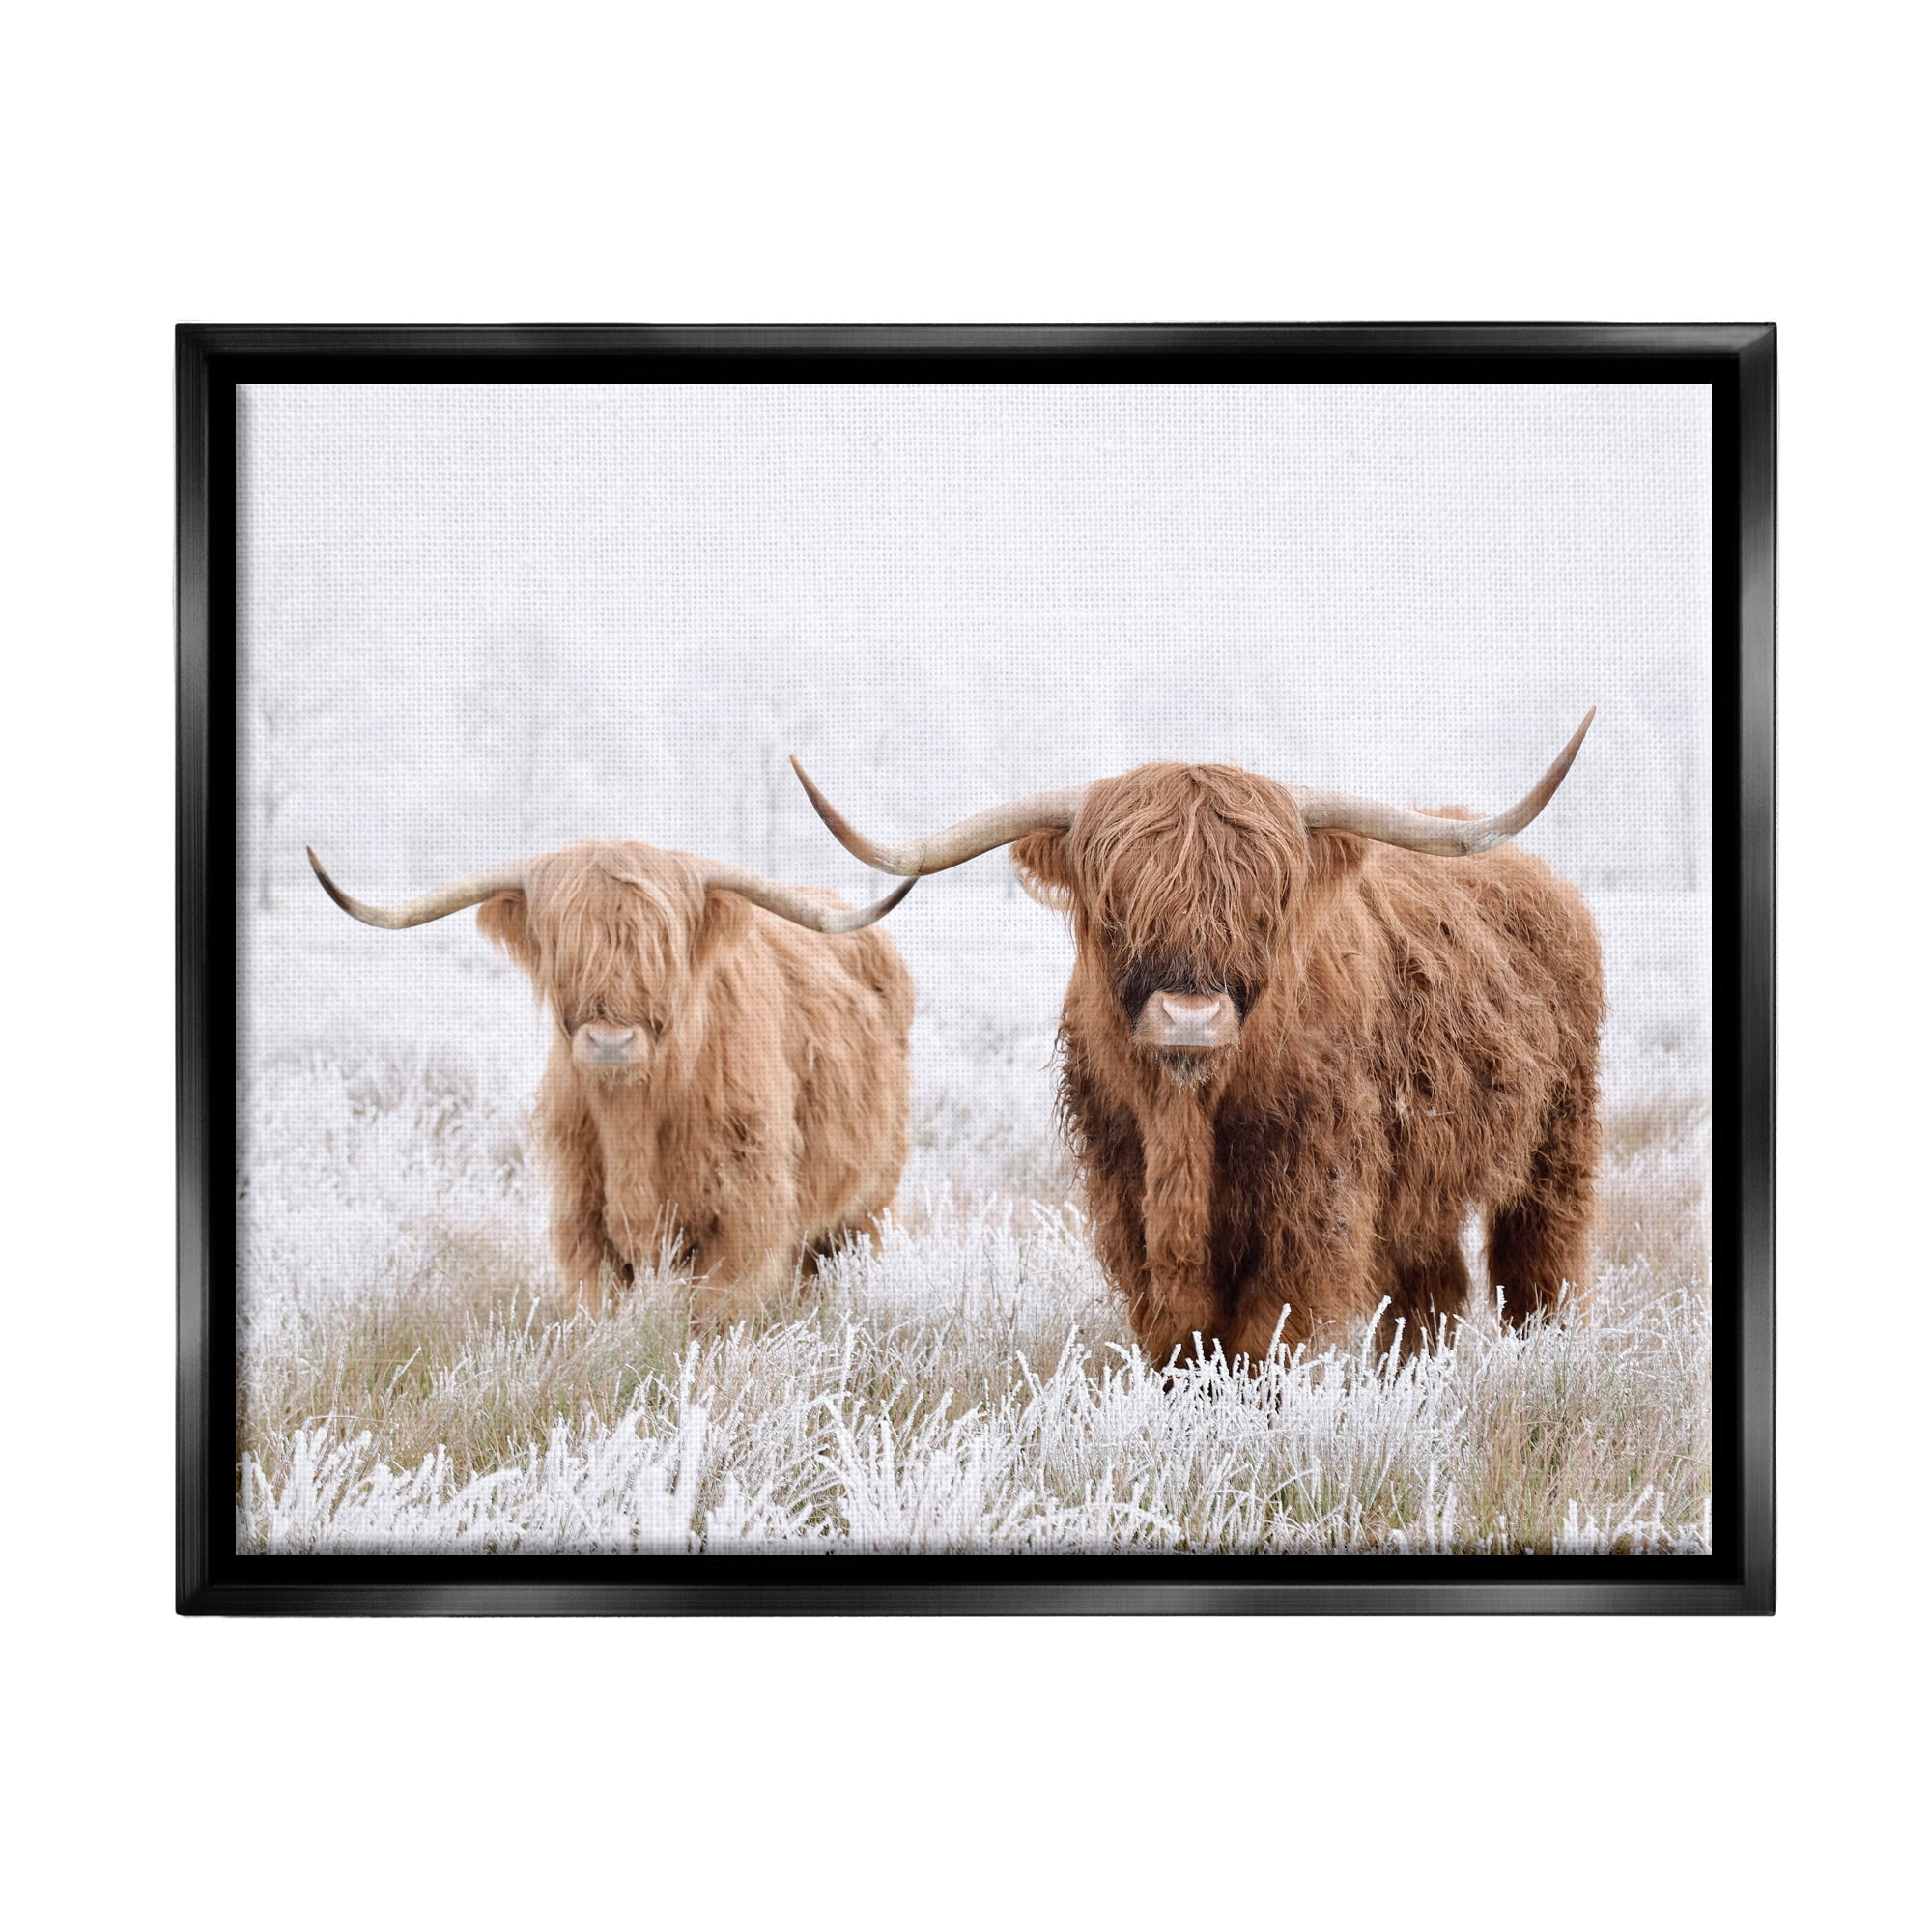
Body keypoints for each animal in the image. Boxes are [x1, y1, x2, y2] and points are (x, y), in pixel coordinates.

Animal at [308, 840, 917, 1324]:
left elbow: (712, 1319)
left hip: (867, 1203)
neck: (634, 1120)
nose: (610, 1042)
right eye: (561, 946)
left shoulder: (743, 1220)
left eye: (662, 948)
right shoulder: (582, 1219)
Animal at [791, 715, 1603, 1365]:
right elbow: (1179, 1338)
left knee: (1537, 1266)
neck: (1187, 1118)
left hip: (1558, 1138)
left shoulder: (1313, 1205)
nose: (1189, 1018)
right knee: (1431, 1289)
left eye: (1265, 907)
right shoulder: (1128, 1198)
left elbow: (1263, 1339)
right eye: (1116, 908)